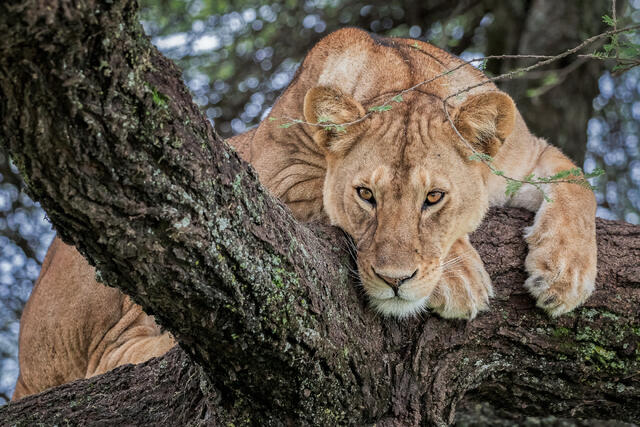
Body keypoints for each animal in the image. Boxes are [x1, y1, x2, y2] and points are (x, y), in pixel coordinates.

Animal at [12, 28, 596, 400]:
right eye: (365, 195)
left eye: (434, 198)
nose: (395, 281)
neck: (403, 77)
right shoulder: (283, 182)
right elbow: (322, 197)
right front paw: (460, 276)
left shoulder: (526, 156)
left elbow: (576, 181)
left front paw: (563, 274)